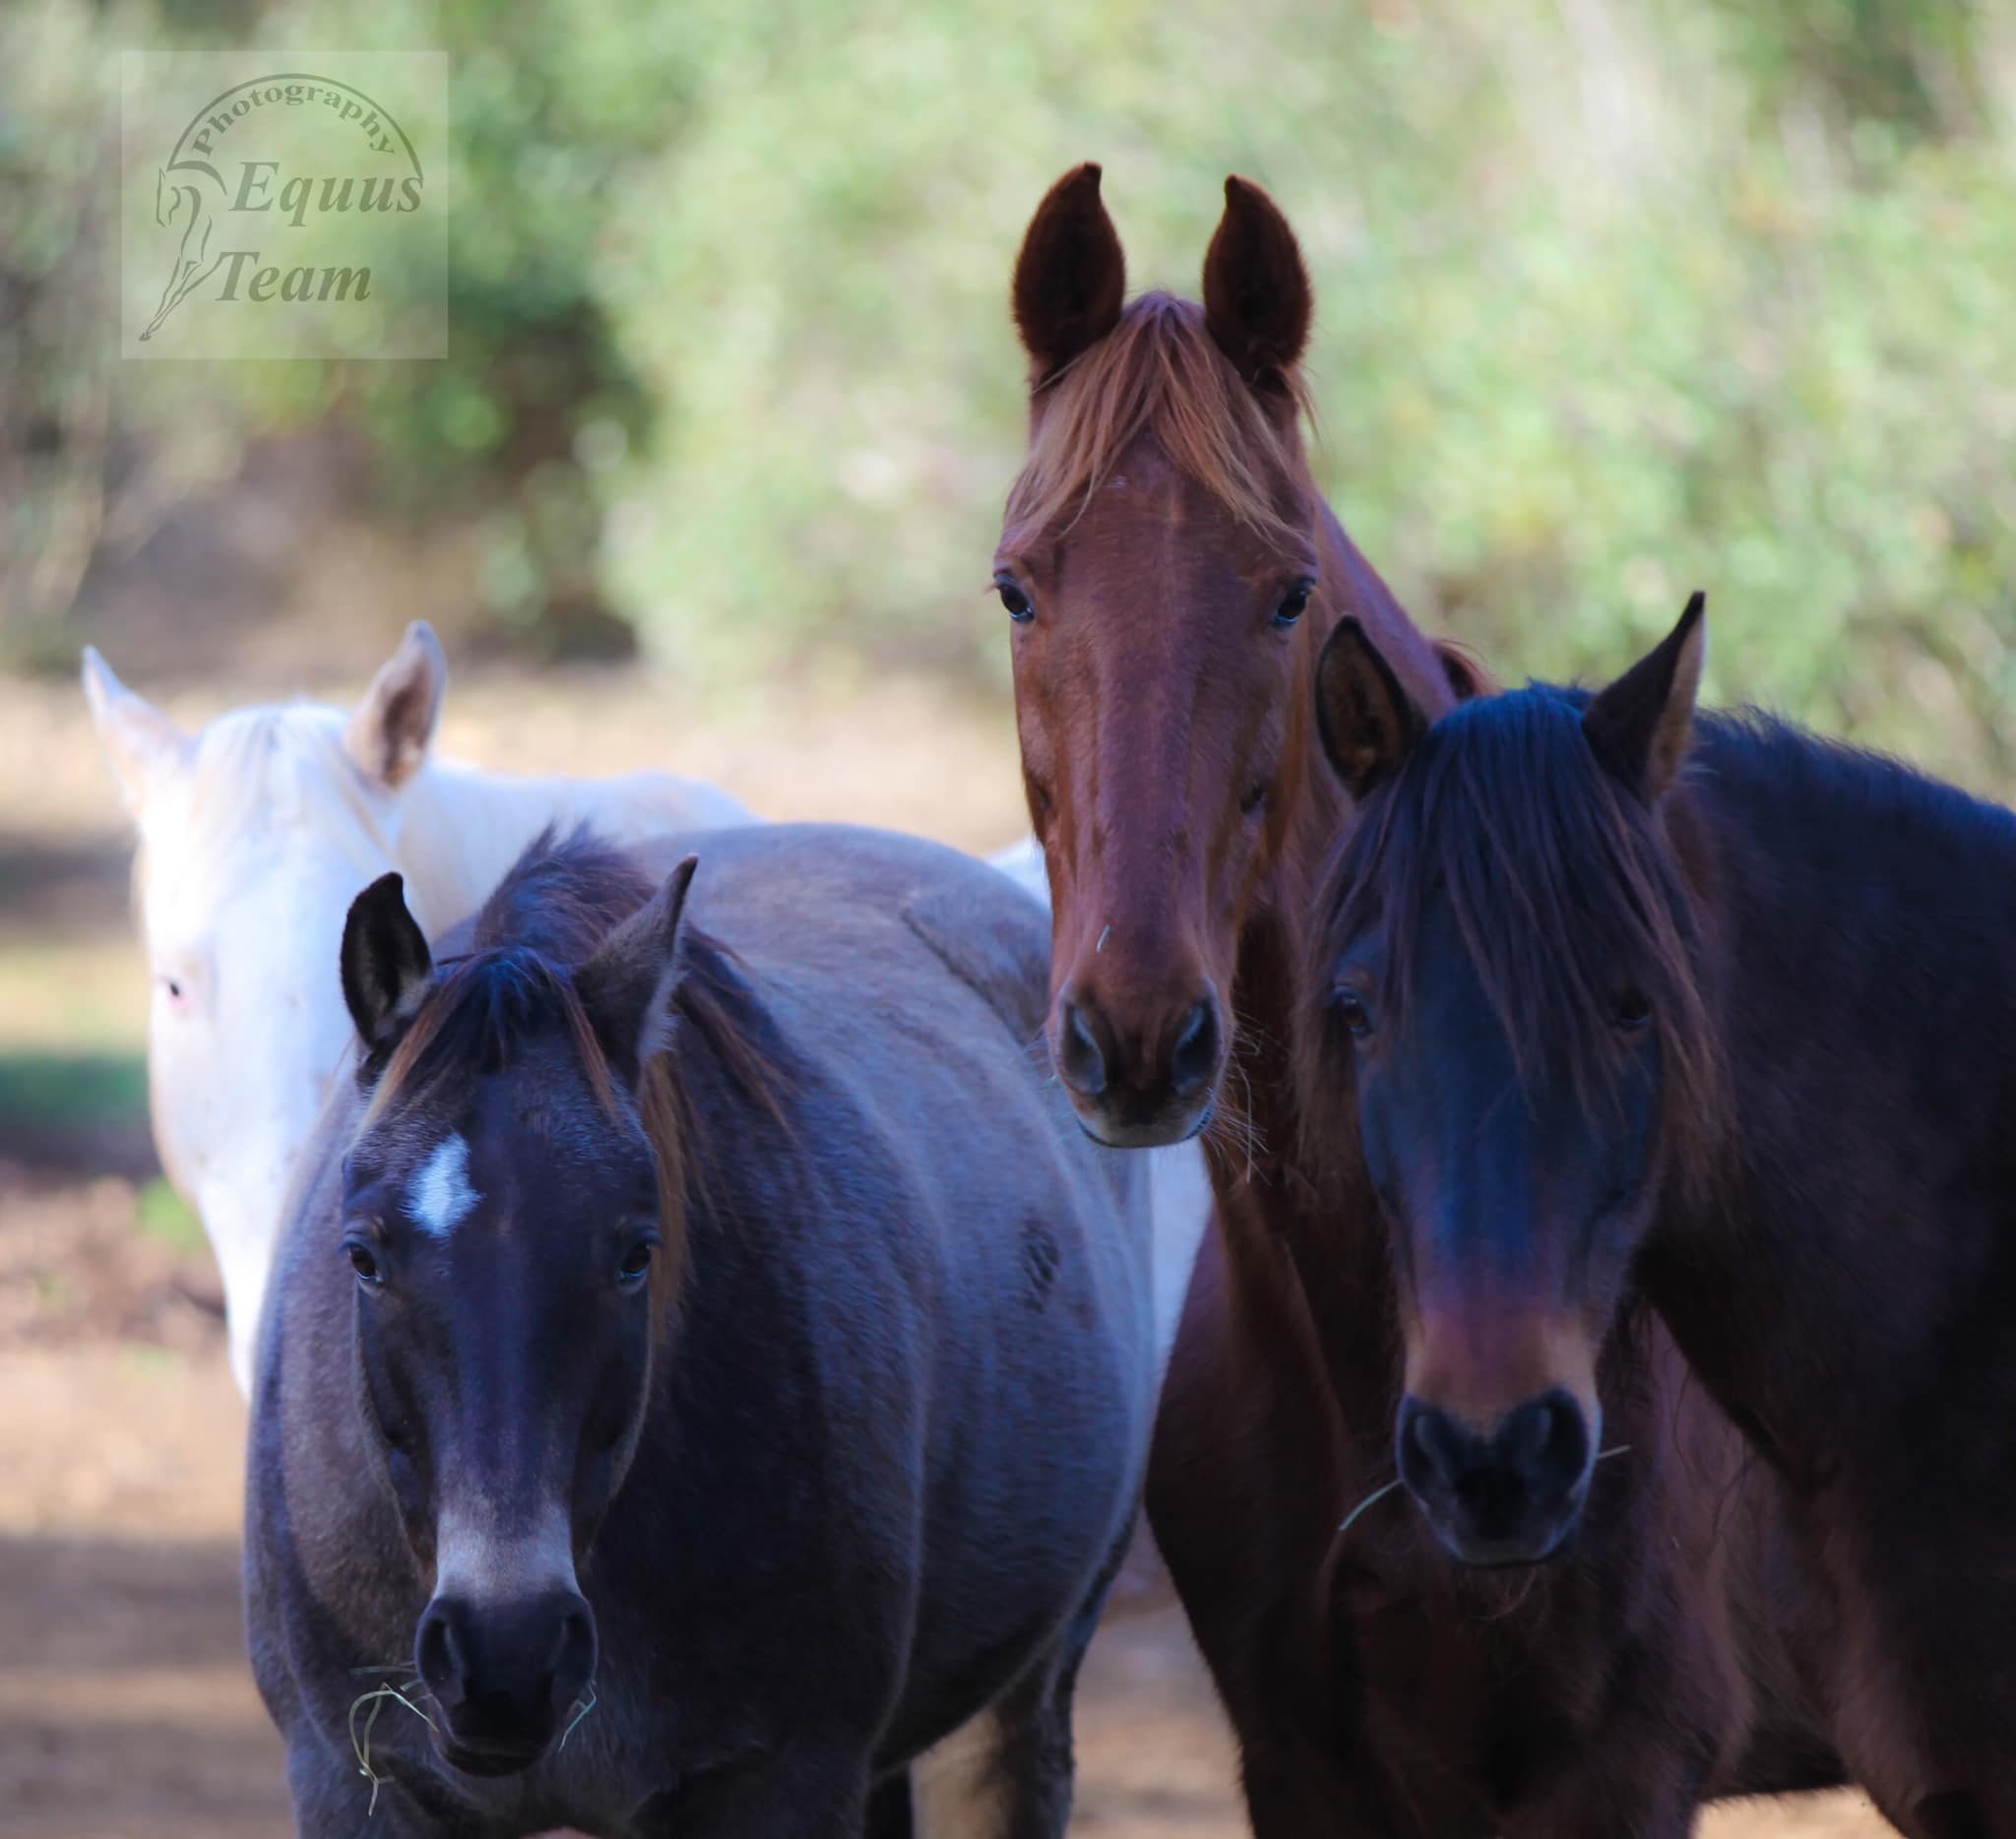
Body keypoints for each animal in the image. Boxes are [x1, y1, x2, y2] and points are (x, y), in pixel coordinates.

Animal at [246, 821, 1157, 1838]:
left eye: (636, 1252)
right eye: (362, 1254)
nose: (506, 1651)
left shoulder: (780, 1785)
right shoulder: (353, 1782)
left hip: (1014, 1712)